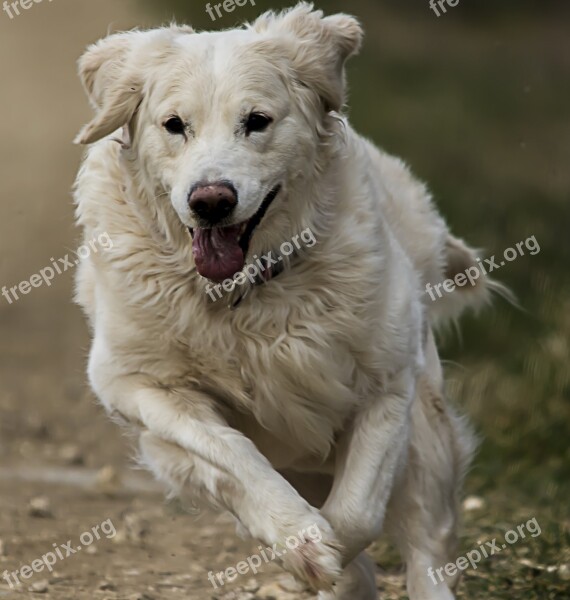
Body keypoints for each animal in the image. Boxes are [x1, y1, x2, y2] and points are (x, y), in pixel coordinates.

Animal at [72, 3, 488, 596]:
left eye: (257, 121)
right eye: (174, 125)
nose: (211, 201)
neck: (244, 291)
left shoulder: (389, 380)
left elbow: (358, 513)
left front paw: (326, 549)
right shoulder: (136, 383)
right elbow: (232, 452)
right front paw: (301, 541)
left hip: (427, 437)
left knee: (425, 545)